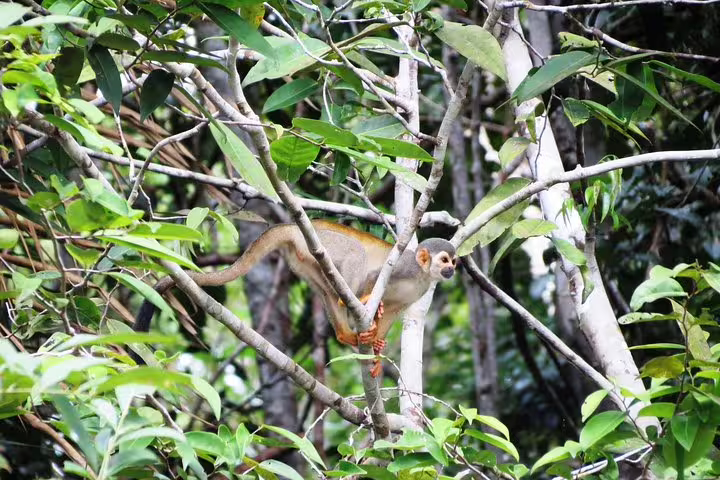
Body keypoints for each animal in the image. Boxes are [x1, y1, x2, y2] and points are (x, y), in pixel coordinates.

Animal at [132, 220, 457, 377]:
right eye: (444, 260)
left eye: (454, 261)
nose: (452, 270)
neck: (421, 274)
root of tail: (295, 226)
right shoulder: (404, 266)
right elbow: (376, 276)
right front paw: (369, 310)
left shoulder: (420, 290)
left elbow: (393, 309)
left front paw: (377, 348)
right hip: (326, 244)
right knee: (355, 256)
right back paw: (352, 306)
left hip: (306, 260)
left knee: (326, 288)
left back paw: (344, 335)